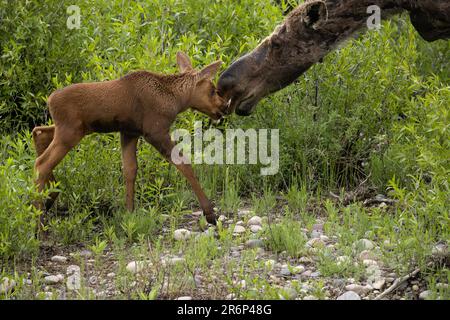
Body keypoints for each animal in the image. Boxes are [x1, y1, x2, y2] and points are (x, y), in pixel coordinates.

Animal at [33, 52, 229, 226]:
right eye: (213, 90)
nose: (224, 107)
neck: (176, 100)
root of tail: (49, 100)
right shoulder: (155, 131)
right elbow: (184, 164)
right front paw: (209, 213)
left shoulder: (129, 133)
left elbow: (130, 170)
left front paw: (129, 212)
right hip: (70, 132)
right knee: (42, 162)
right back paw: (39, 222)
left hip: (71, 129)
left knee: (39, 133)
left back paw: (49, 198)